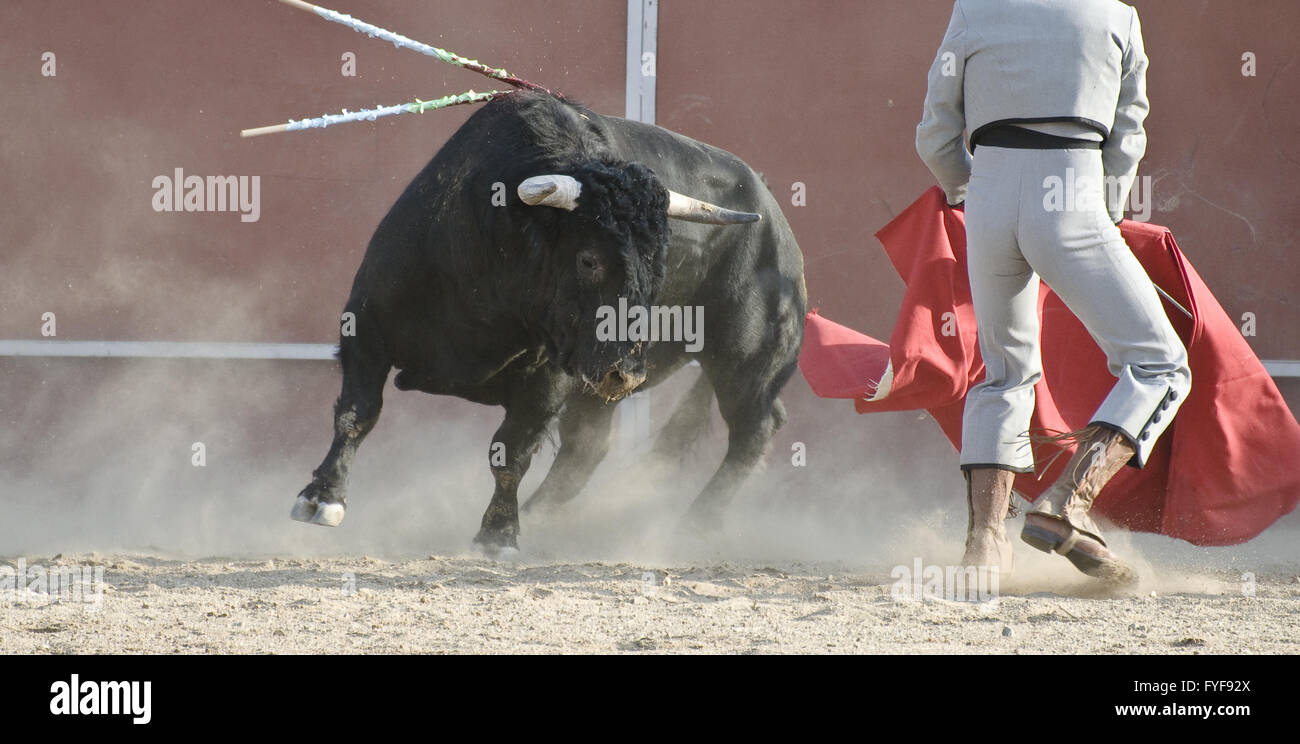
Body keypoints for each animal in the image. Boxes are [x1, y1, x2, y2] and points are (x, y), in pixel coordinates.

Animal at [289, 90, 806, 548]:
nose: (626, 373)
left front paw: (498, 535)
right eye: (589, 260)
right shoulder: (366, 325)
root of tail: (776, 222)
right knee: (587, 448)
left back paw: (694, 523)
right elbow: (357, 413)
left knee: (754, 428)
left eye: (661, 264)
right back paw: (542, 517)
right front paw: (321, 498)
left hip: (744, 361)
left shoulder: (553, 375)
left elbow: (511, 452)